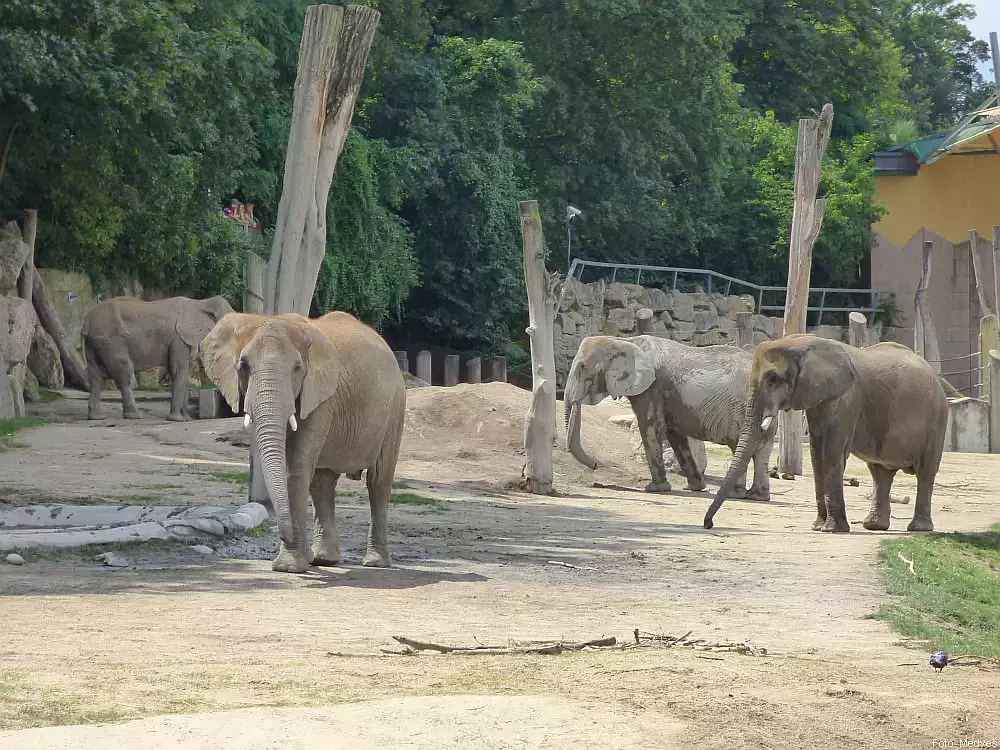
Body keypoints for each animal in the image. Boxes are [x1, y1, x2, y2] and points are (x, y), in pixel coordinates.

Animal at [82, 296, 234, 424]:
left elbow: (185, 373)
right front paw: (178, 420)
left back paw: (97, 417)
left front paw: (187, 419)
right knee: (124, 374)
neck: (202, 302)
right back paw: (134, 416)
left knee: (95, 377)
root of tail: (87, 321)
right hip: (112, 342)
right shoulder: (177, 339)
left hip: (94, 344)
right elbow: (179, 370)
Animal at [199, 312, 406, 576]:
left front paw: (288, 567)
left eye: (297, 369)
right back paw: (324, 560)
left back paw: (374, 563)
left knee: (378, 480)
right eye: (243, 366)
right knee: (322, 483)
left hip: (395, 408)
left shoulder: (320, 397)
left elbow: (296, 467)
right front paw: (301, 562)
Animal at [568, 334, 776, 500]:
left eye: (582, 367)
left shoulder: (651, 389)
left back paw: (736, 494)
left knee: (742, 446)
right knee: (762, 449)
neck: (624, 341)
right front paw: (694, 488)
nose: (596, 465)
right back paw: (757, 496)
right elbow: (674, 434)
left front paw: (654, 489)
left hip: (742, 409)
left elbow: (650, 429)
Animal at [704, 334, 944, 536]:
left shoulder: (847, 397)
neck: (801, 343)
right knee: (880, 473)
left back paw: (918, 528)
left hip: (936, 422)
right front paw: (817, 526)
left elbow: (832, 451)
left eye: (773, 379)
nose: (709, 524)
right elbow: (816, 453)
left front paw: (831, 529)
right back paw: (874, 526)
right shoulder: (815, 398)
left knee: (925, 472)